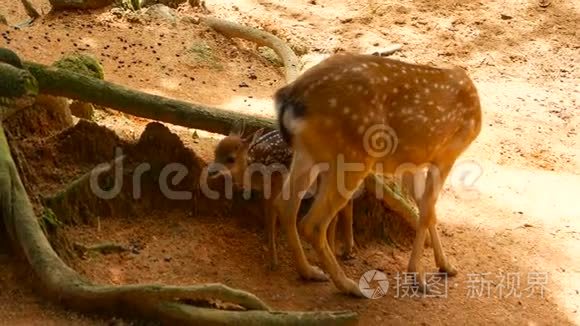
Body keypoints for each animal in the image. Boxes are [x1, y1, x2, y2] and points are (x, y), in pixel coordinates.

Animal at [208, 126, 354, 272]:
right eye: (215, 151)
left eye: (230, 158)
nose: (210, 172)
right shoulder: (265, 191)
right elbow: (267, 217)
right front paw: (266, 239)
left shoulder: (277, 184)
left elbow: (272, 218)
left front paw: (273, 262)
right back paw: (346, 251)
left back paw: (335, 251)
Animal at [274, 52, 482, 296]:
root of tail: (290, 99)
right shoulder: (447, 153)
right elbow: (427, 211)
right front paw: (418, 277)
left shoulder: (410, 162)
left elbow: (426, 208)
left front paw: (445, 265)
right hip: (353, 156)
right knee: (312, 223)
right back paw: (350, 286)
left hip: (308, 153)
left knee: (285, 204)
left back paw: (309, 271)